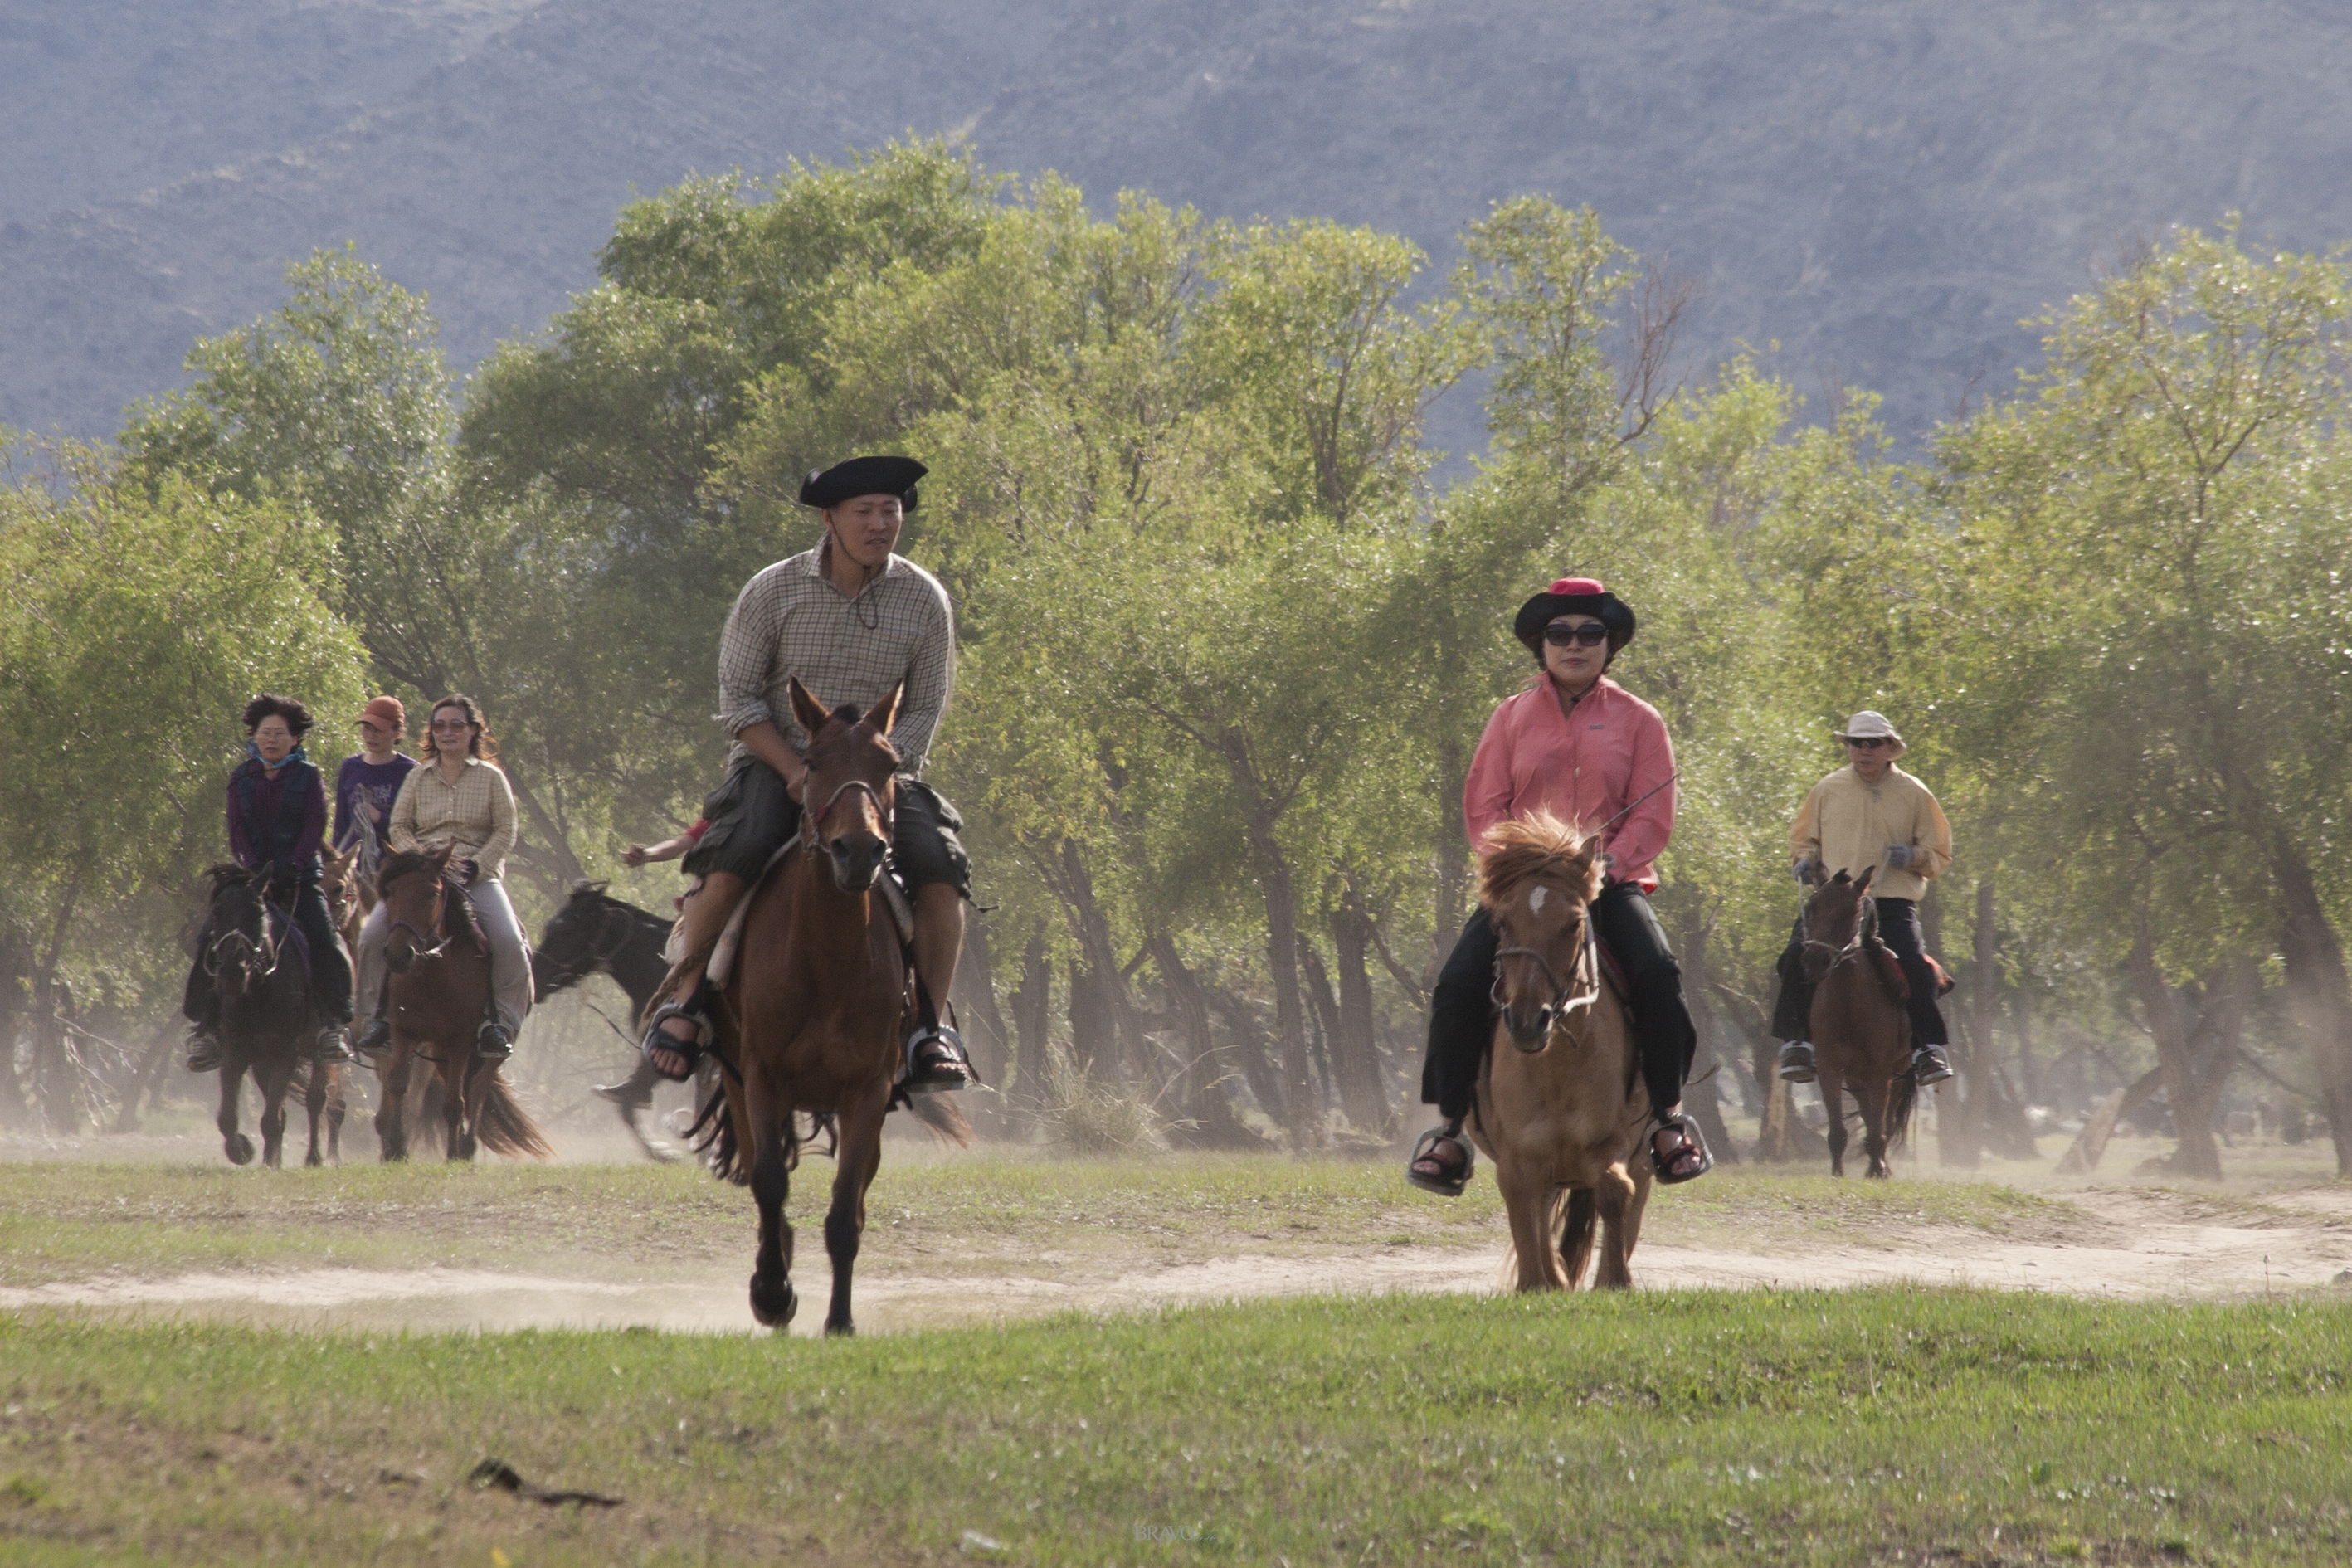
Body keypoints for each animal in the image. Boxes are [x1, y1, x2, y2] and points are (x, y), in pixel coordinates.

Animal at [373, 846, 553, 1166]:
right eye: (390, 891)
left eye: (432, 893)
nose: (399, 955)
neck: (432, 977)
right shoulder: (403, 1033)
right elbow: (398, 1084)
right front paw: (395, 1151)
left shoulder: (461, 1040)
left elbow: (455, 1103)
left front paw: (453, 1155)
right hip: (438, 1050)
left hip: (487, 1045)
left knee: (479, 1086)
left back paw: (466, 1147)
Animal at [686, 677, 964, 1335]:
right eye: (811, 763)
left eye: (888, 764)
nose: (858, 850)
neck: (826, 962)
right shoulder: (761, 1078)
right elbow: (768, 1185)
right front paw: (772, 1294)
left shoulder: (867, 1092)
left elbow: (844, 1213)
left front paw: (839, 1320)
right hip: (738, 1081)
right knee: (764, 1178)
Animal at [1468, 818, 1655, 1298]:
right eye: (1502, 923)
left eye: (1572, 924)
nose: (1527, 1021)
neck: (1555, 1068)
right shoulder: (1518, 1156)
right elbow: (1522, 1202)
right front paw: (1538, 1282)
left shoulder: (1615, 1143)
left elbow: (1615, 1190)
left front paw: (1614, 1280)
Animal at [1787, 869, 1919, 1175]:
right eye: (1812, 907)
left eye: (1851, 911)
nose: (1815, 961)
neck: (1849, 1009)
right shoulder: (1830, 1067)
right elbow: (1838, 1132)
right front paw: (1838, 1174)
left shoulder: (1881, 1070)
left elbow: (1879, 1128)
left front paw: (1878, 1171)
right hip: (1857, 1076)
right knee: (1869, 1116)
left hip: (1897, 1070)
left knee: (1885, 1122)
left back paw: (1880, 1166)